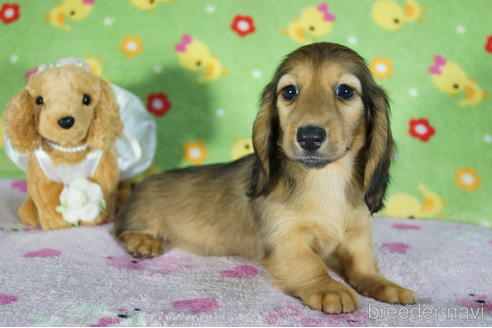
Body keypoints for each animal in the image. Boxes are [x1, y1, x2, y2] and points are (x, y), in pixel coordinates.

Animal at [114, 43, 416, 312]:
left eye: (345, 91)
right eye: (290, 91)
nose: (309, 136)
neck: (325, 179)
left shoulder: (357, 236)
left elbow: (364, 266)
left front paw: (387, 285)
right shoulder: (285, 239)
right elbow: (310, 262)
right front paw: (328, 287)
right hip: (139, 215)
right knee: (120, 229)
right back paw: (143, 241)